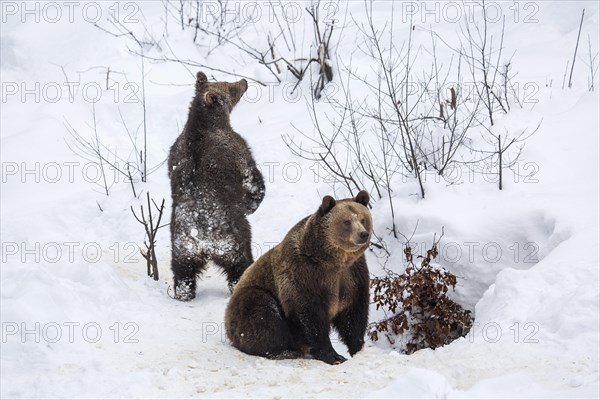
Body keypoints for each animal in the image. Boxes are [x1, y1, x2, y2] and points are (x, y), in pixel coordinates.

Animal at [168, 72, 264, 300]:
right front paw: (254, 202)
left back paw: (183, 293)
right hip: (233, 241)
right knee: (240, 265)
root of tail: (202, 240)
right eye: (230, 87)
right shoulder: (236, 150)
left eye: (225, 81)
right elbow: (252, 179)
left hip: (181, 248)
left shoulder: (173, 152)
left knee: (183, 273)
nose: (244, 81)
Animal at [226, 191, 370, 366]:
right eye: (347, 221)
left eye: (363, 219)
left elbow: (353, 313)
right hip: (248, 301)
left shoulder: (352, 275)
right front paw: (334, 356)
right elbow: (309, 313)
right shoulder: (304, 273)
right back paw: (283, 351)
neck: (334, 260)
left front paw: (357, 347)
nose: (363, 234)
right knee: (263, 311)